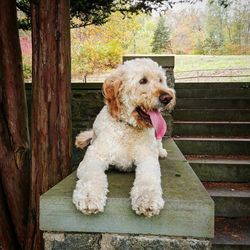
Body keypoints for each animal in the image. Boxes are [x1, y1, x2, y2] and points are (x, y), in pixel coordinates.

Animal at [72, 58, 176, 217]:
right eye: (142, 80)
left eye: (160, 80)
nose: (168, 97)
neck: (127, 127)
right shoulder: (94, 156)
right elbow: (91, 175)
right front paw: (89, 197)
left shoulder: (147, 158)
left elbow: (148, 178)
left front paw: (147, 200)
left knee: (158, 143)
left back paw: (161, 152)